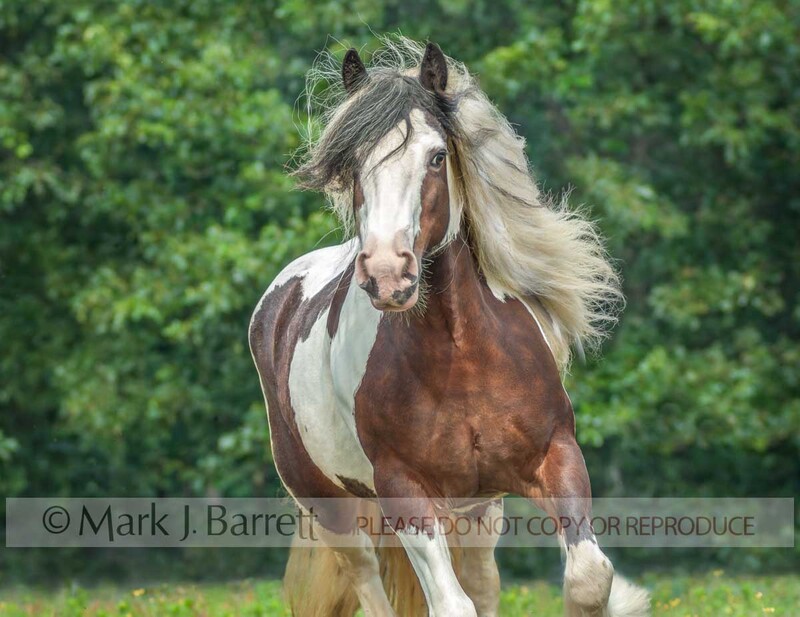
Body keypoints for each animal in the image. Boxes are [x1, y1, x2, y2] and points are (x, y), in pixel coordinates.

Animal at [249, 37, 650, 617]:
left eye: (437, 157)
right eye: (351, 165)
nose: (388, 274)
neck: (460, 353)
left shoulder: (555, 456)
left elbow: (589, 578)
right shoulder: (403, 488)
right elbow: (451, 604)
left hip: (477, 511)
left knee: (482, 582)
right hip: (328, 503)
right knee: (368, 581)